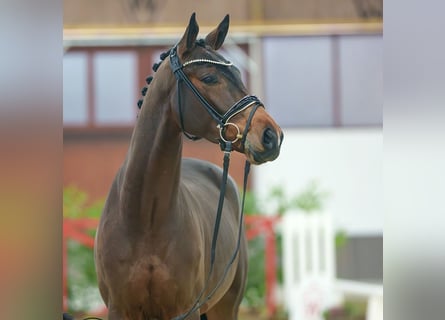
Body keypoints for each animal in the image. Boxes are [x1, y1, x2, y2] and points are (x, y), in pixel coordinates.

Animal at [95, 13, 282, 320]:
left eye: (239, 75)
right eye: (209, 78)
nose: (271, 135)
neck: (144, 218)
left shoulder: (185, 309)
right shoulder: (119, 309)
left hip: (224, 306)